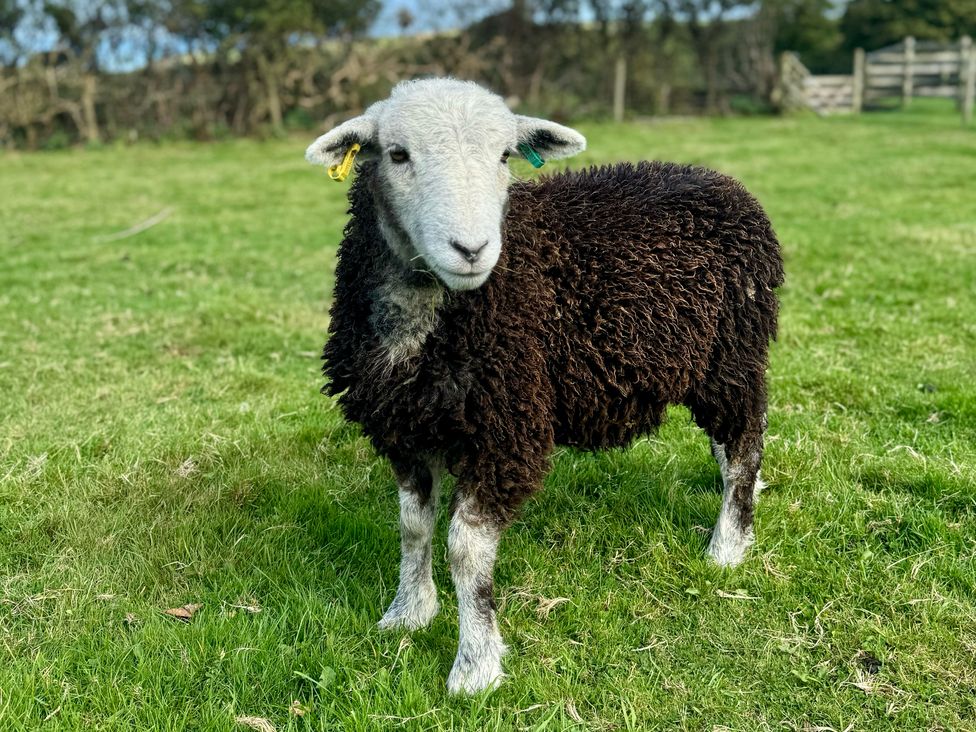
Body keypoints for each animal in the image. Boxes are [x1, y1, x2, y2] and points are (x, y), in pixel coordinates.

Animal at [304, 77, 784, 696]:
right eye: (397, 155)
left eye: (505, 155)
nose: (471, 249)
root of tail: (723, 182)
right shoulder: (403, 426)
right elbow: (412, 527)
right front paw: (408, 613)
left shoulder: (507, 430)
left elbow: (465, 551)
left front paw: (475, 666)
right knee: (735, 445)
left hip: (730, 355)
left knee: (746, 441)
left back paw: (729, 543)